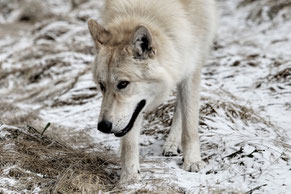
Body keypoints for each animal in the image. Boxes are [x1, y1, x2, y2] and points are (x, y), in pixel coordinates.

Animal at [88, 0, 218, 182]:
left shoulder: (191, 67)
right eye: (102, 85)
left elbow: (190, 126)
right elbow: (129, 141)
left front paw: (192, 162)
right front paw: (129, 177)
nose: (103, 126)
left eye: (123, 84)